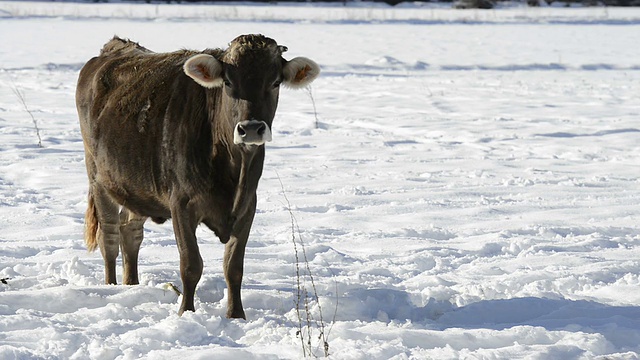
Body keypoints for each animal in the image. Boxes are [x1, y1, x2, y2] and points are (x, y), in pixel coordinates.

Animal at [76, 35, 320, 320]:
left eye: (275, 82)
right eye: (228, 82)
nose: (251, 129)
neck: (233, 171)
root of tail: (115, 46)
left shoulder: (249, 205)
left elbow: (233, 266)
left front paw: (236, 315)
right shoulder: (182, 204)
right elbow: (191, 264)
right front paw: (186, 311)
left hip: (133, 185)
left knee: (131, 232)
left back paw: (131, 284)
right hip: (98, 178)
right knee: (110, 237)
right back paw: (112, 286)